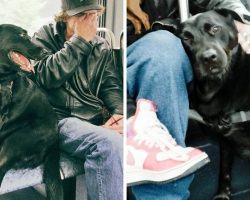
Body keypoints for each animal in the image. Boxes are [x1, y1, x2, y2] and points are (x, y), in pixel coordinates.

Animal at [179, 10, 250, 200]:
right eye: (186, 38)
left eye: (215, 29)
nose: (208, 58)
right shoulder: (224, 139)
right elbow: (224, 169)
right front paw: (222, 194)